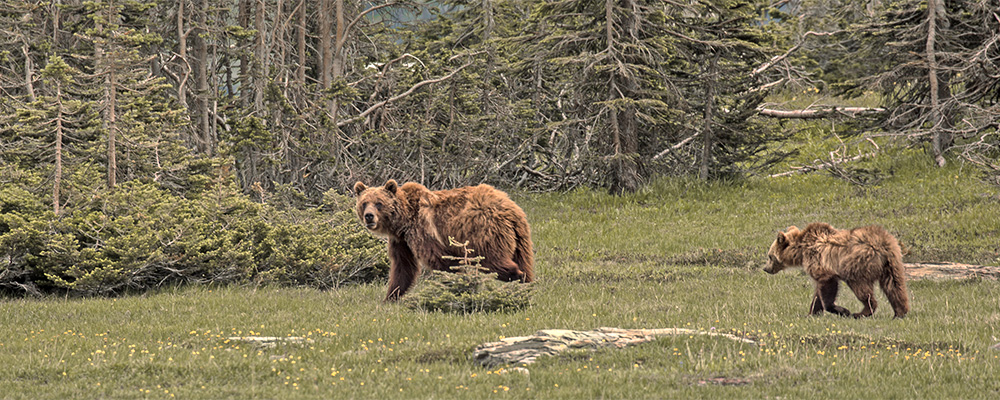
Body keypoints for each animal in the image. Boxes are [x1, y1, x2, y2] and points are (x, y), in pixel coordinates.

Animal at [353, 179, 535, 302]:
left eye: (379, 203)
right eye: (364, 203)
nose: (369, 216)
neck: (402, 222)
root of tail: (510, 210)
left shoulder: (423, 231)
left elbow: (442, 260)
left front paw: (453, 287)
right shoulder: (401, 242)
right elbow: (403, 268)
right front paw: (390, 297)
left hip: (484, 233)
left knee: (494, 261)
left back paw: (518, 277)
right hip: (521, 239)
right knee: (524, 260)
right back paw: (528, 283)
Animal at [763, 222, 910, 318]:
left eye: (770, 256)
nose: (765, 268)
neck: (801, 251)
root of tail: (881, 243)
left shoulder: (819, 262)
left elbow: (827, 285)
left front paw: (842, 310)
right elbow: (818, 294)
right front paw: (811, 313)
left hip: (857, 264)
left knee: (862, 289)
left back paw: (862, 312)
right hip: (892, 263)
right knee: (894, 285)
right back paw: (900, 312)